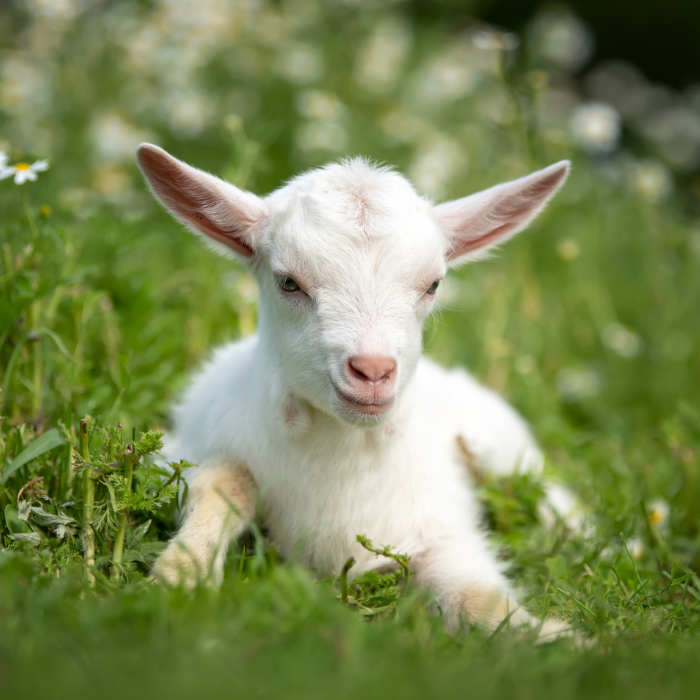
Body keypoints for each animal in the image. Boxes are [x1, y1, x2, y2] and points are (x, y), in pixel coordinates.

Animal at [137, 144, 572, 641]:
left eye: (433, 284)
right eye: (289, 282)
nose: (373, 370)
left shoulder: (441, 525)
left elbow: (477, 597)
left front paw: (556, 637)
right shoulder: (177, 452)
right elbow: (225, 480)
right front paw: (180, 576)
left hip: (504, 450)